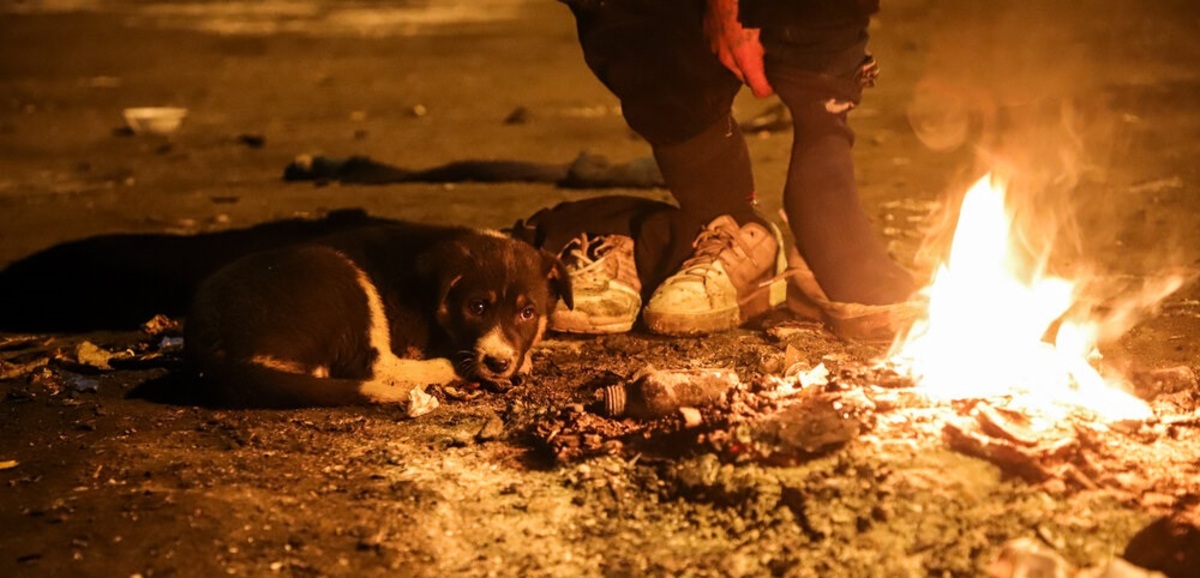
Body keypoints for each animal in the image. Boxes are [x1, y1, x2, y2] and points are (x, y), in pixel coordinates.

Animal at [182, 220, 571, 405]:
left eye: (527, 313)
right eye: (476, 307)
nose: (498, 363)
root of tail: (217, 349)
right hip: (342, 278)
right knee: (374, 366)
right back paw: (446, 370)